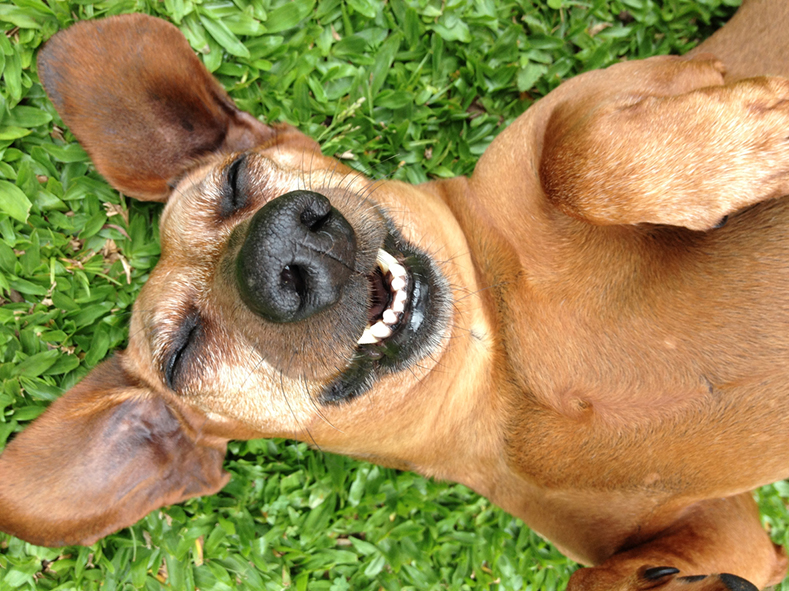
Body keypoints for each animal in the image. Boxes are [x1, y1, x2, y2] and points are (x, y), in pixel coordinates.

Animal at [1, 1, 788, 588]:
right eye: (183, 352)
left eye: (235, 179)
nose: (282, 251)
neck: (501, 360)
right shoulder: (724, 530)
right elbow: (598, 577)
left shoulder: (623, 85)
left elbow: (574, 153)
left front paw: (745, 140)